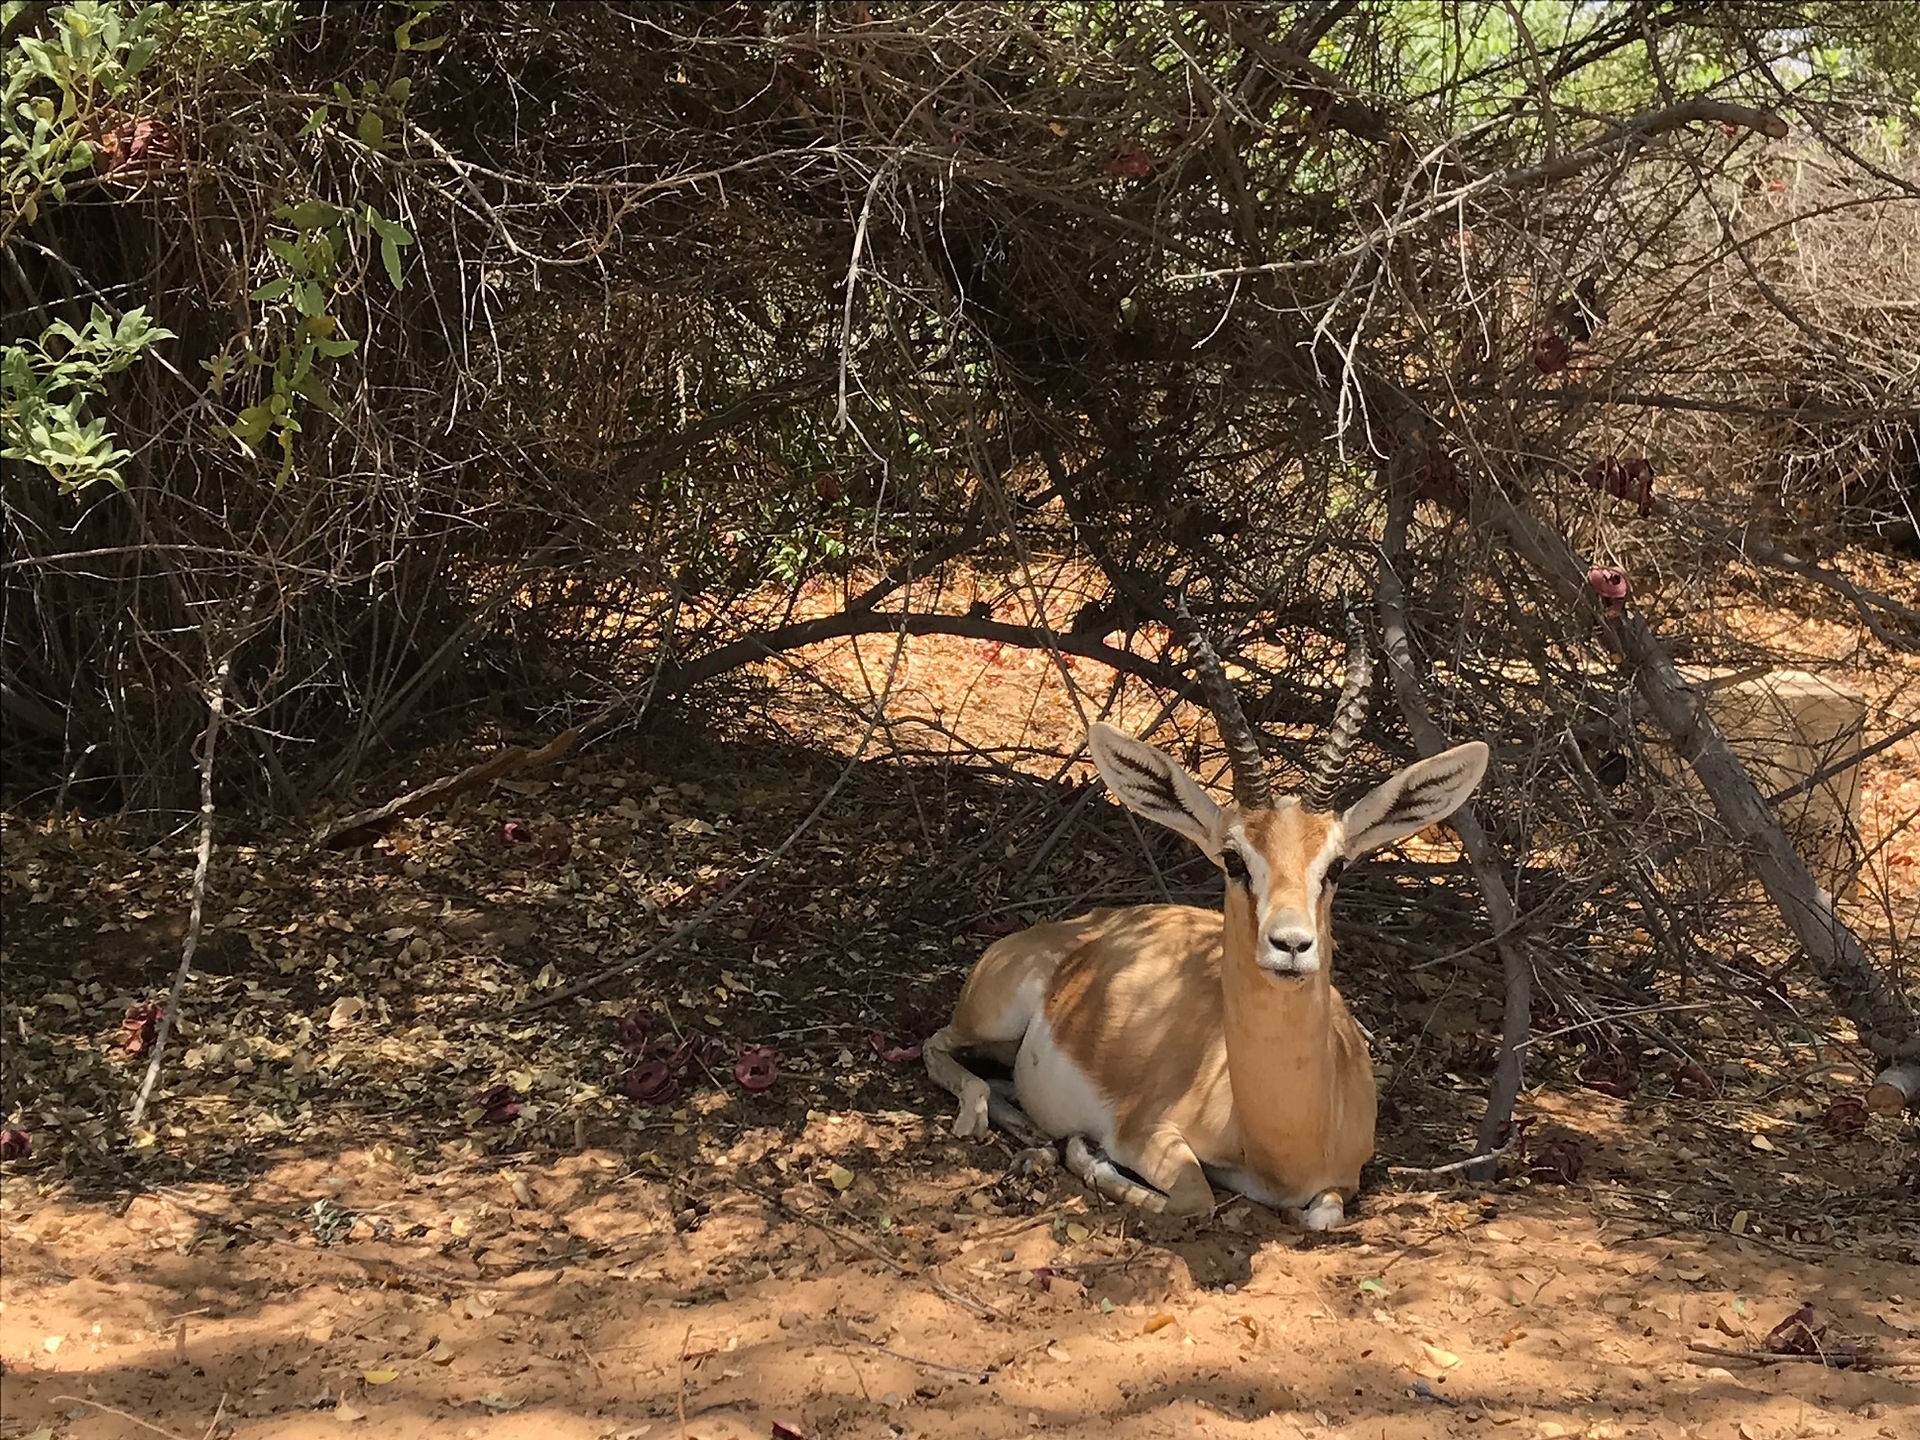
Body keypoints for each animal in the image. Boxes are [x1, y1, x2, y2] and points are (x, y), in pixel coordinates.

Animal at [925, 621, 1489, 1228]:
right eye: (1234, 859)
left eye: (1337, 865)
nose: (1291, 945)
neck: (1282, 1142)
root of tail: (1084, 927)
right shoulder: (1145, 1132)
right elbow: (1195, 1197)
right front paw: (1085, 1152)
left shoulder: (1343, 1183)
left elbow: (1322, 1216)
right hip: (993, 1018)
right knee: (938, 1045)